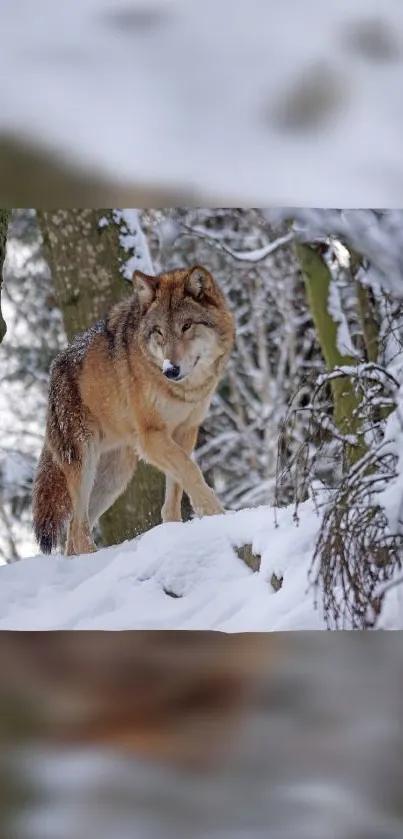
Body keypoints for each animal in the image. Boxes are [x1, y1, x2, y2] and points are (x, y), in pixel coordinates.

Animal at [33, 268, 235, 556]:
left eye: (186, 326)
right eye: (159, 332)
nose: (170, 369)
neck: (184, 390)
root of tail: (53, 370)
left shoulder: (185, 432)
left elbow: (176, 487)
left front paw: (175, 529)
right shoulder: (151, 437)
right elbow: (191, 471)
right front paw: (216, 514)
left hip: (114, 476)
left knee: (73, 530)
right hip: (85, 463)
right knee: (79, 527)